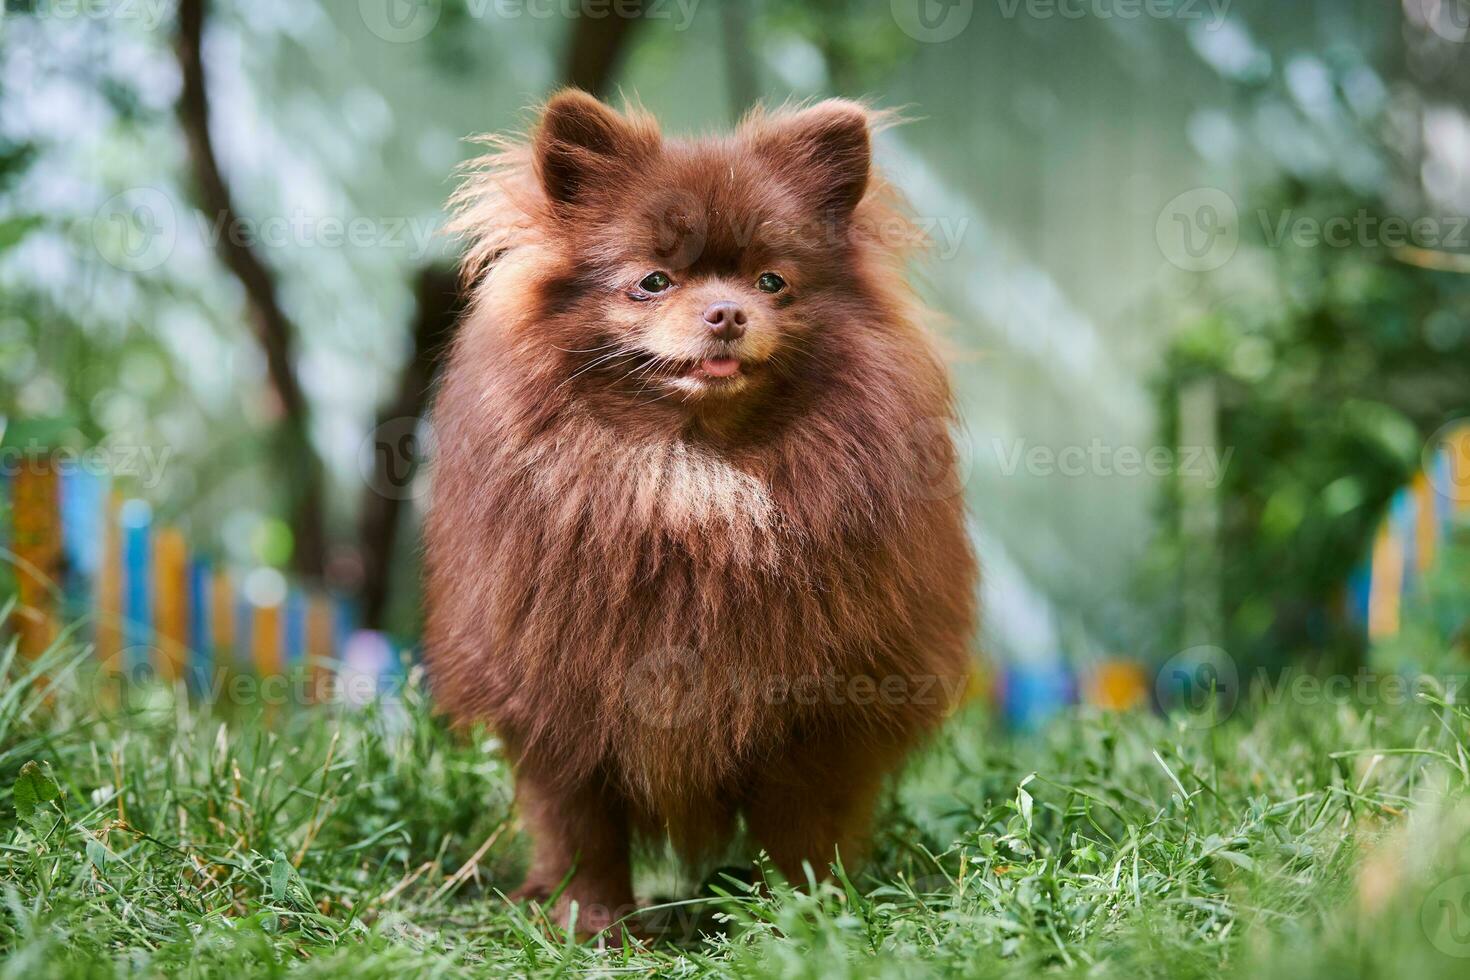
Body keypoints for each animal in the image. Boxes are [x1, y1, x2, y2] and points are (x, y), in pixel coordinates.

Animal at [426, 89, 976, 934]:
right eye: (654, 280)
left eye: (772, 282)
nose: (726, 312)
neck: (692, 471)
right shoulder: (558, 696)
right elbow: (579, 828)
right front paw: (592, 924)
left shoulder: (816, 713)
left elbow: (800, 825)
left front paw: (802, 914)